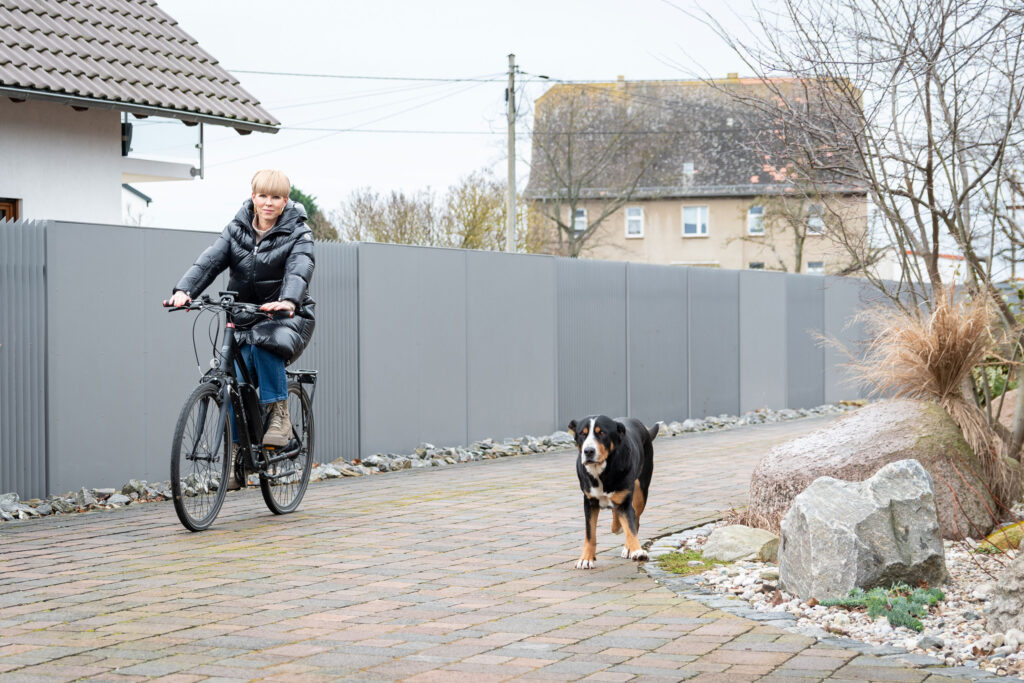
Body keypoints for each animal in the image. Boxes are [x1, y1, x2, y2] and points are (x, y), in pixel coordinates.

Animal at [569, 413, 655, 569]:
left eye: (602, 433)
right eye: (582, 434)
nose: (588, 451)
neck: (600, 472)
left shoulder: (625, 502)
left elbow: (631, 528)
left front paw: (637, 551)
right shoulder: (589, 502)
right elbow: (590, 534)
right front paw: (586, 559)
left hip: (641, 491)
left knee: (635, 518)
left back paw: (628, 548)